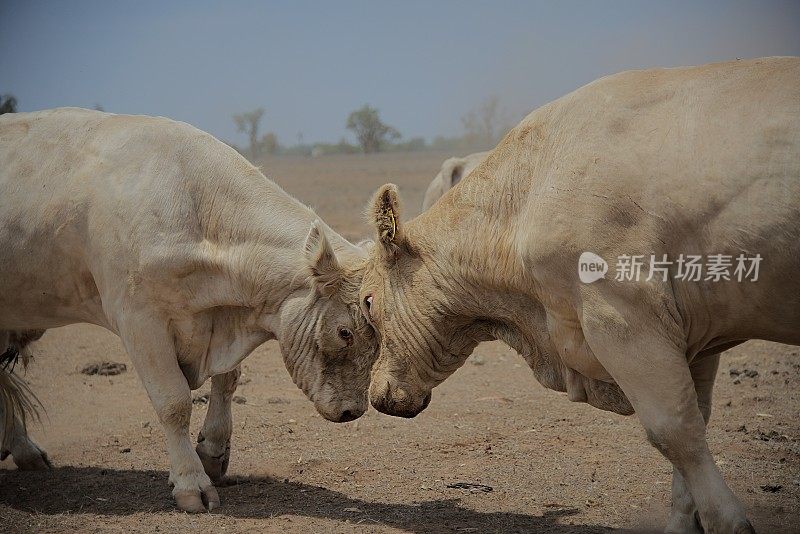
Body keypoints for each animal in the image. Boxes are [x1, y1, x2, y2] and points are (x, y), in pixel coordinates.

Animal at [0, 109, 376, 516]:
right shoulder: (140, 322)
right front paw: (191, 482)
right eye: (345, 332)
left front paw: (213, 453)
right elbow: (174, 403)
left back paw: (25, 451)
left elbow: (227, 381)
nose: (353, 411)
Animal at [360, 56, 800, 532]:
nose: (376, 394)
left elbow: (675, 431)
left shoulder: (624, 318)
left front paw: (728, 521)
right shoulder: (694, 335)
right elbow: (696, 421)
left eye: (368, 302)